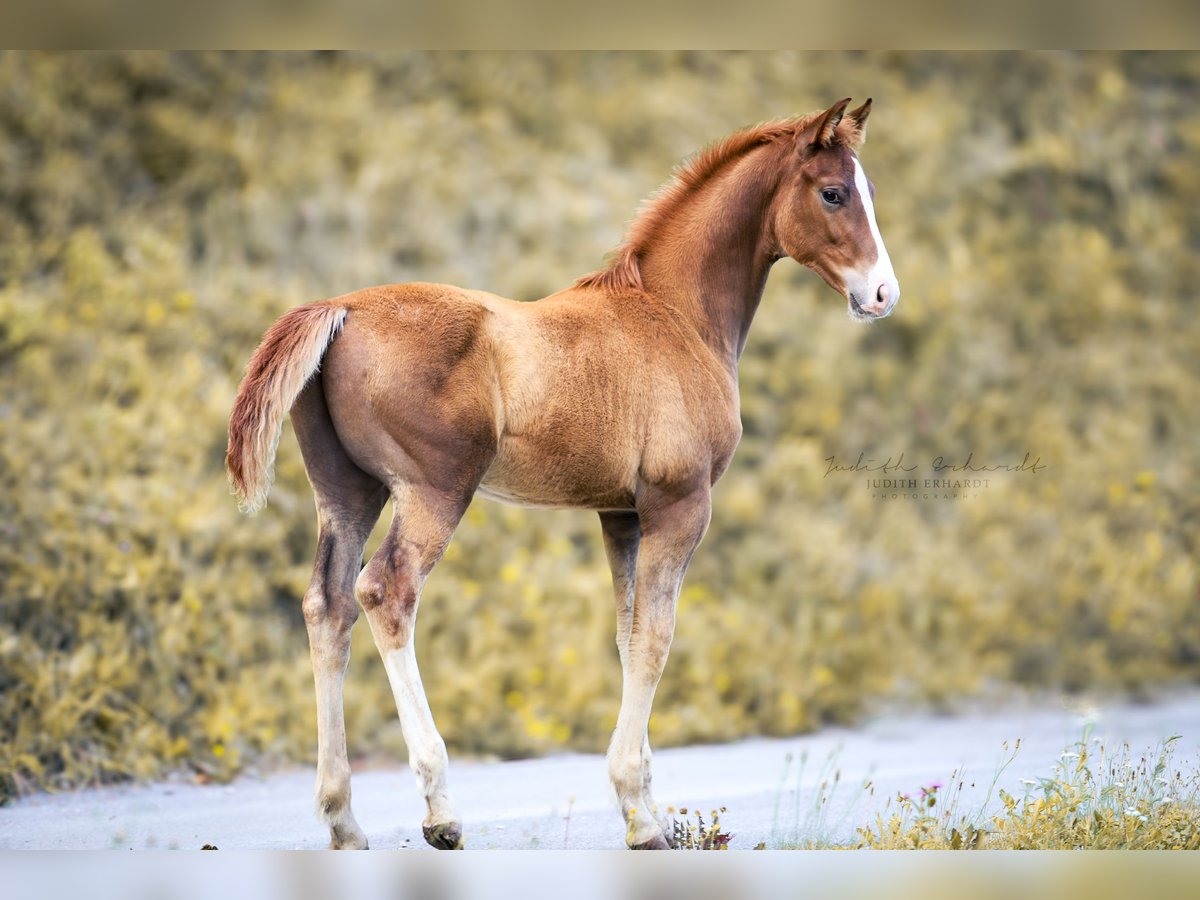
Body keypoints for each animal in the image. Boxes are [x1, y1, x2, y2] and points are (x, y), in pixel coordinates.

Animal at [226, 98, 902, 854]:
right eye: (833, 193)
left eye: (869, 189)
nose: (882, 293)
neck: (675, 313)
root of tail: (340, 309)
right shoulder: (680, 505)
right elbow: (656, 639)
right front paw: (642, 816)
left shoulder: (622, 514)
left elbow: (628, 636)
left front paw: (646, 805)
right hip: (435, 491)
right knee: (385, 591)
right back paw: (439, 809)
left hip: (348, 492)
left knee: (328, 604)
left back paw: (343, 818)